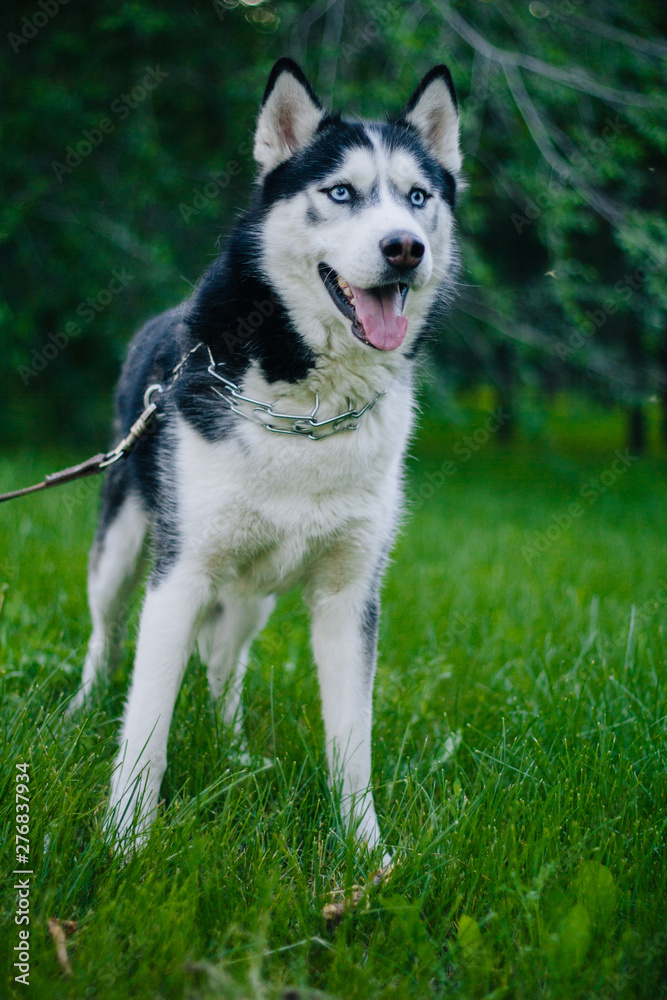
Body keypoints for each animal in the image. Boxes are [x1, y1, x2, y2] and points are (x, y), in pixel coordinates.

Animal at [73, 58, 462, 856]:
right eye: (340, 192)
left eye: (418, 197)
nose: (405, 246)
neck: (307, 404)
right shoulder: (179, 576)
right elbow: (146, 725)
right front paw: (125, 845)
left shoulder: (349, 596)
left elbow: (352, 743)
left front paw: (366, 853)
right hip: (123, 544)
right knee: (106, 634)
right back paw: (82, 708)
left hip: (253, 593)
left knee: (226, 662)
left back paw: (233, 752)